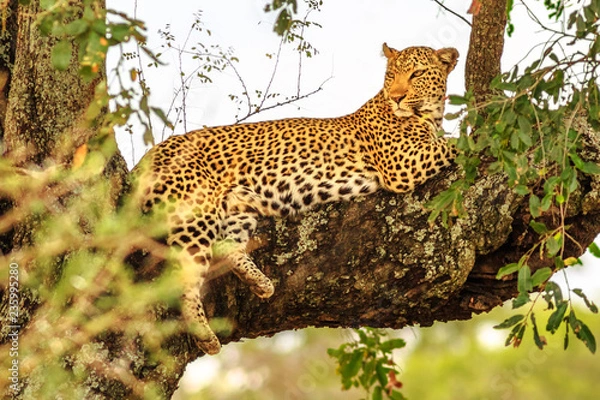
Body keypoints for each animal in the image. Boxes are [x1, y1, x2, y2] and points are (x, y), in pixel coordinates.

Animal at [131, 43, 460, 354]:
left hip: (237, 207)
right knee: (183, 275)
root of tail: (152, 154)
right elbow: (452, 144)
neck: (430, 116)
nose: (397, 97)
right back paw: (203, 334)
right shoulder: (402, 164)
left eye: (417, 74)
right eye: (391, 75)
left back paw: (260, 283)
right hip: (195, 214)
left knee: (226, 246)